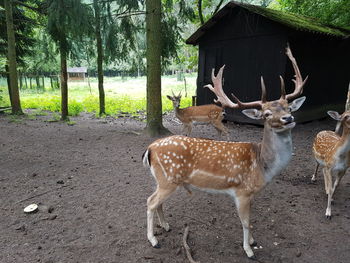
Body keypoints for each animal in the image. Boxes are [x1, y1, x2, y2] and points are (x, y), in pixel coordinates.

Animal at [142, 45, 306, 260]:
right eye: (267, 114)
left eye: (288, 108)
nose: (288, 118)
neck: (262, 166)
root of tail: (150, 148)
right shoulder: (242, 191)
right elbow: (245, 222)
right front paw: (249, 250)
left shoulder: (251, 194)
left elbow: (251, 220)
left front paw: (253, 241)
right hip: (169, 179)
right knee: (150, 201)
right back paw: (153, 240)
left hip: (162, 179)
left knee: (156, 201)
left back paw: (166, 226)